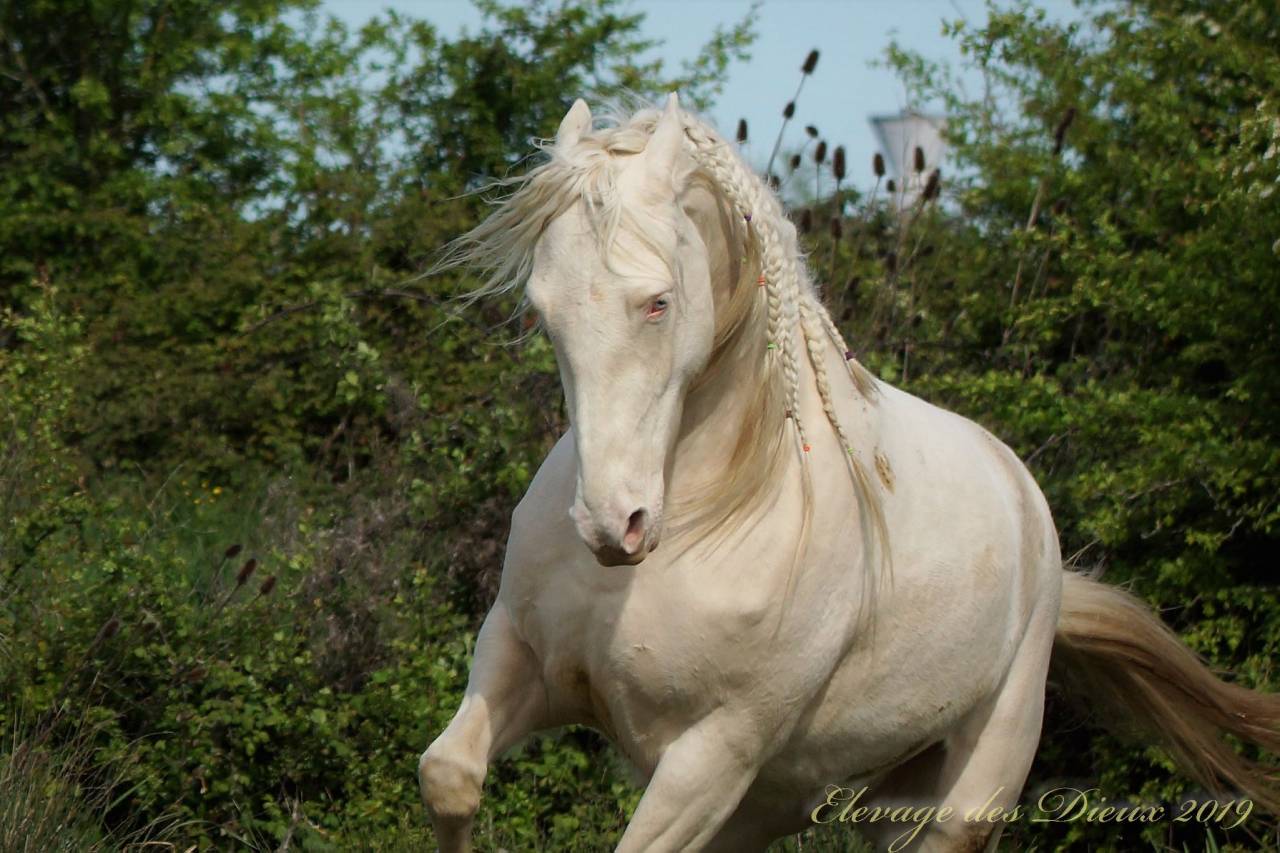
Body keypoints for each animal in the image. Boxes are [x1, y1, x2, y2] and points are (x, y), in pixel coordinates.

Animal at [418, 94, 1280, 852]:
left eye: (656, 302)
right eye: (543, 308)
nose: (611, 523)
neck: (701, 515)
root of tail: (1028, 506)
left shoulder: (714, 753)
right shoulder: (520, 655)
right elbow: (448, 774)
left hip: (963, 788)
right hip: (798, 796)